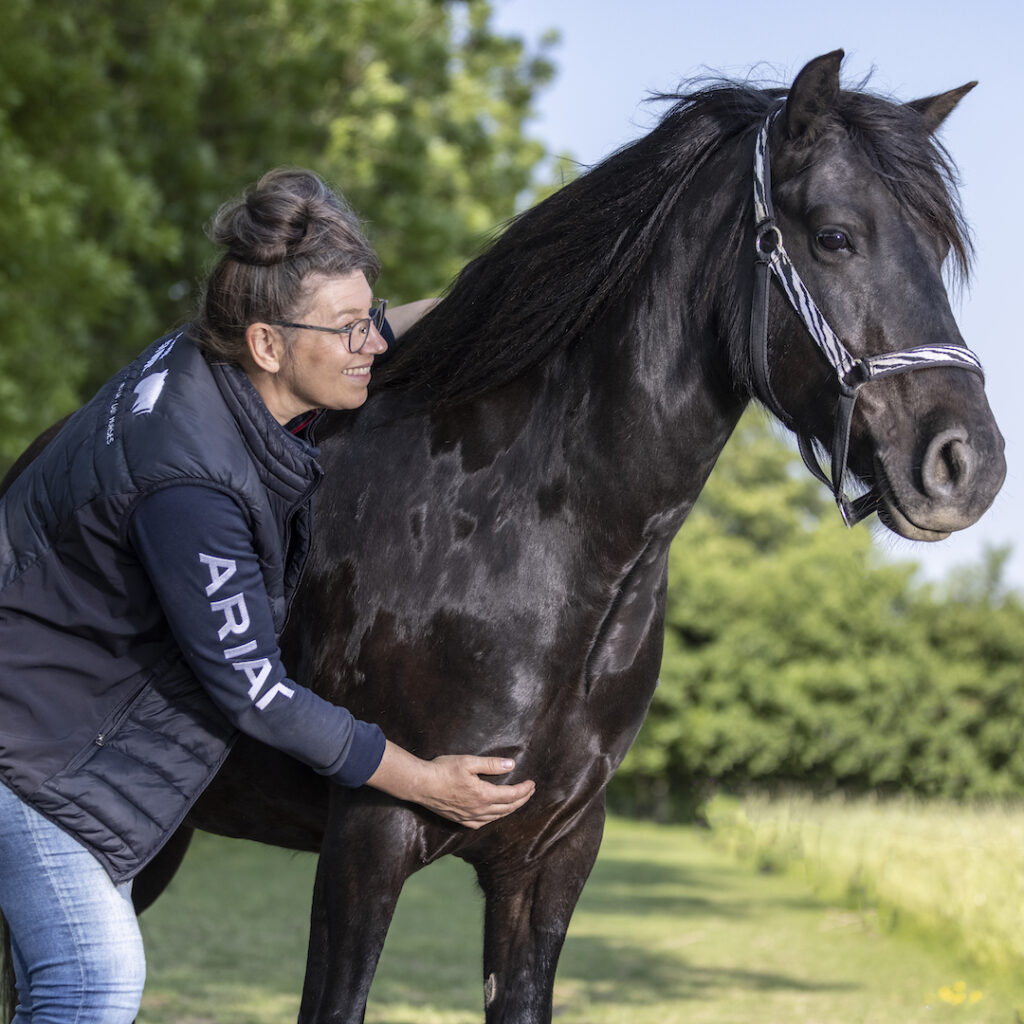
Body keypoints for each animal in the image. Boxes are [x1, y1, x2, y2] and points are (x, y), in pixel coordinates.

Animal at [0, 50, 1006, 1024]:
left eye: (939, 251)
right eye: (834, 236)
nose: (969, 465)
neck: (531, 547)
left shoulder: (550, 858)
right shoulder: (368, 836)